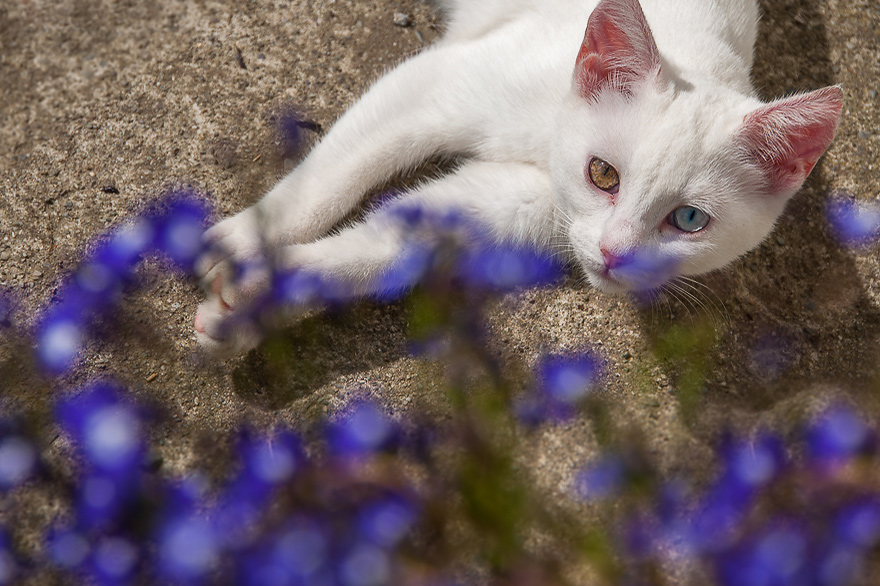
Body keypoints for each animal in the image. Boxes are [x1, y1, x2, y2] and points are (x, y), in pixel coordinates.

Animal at [194, 0, 844, 354]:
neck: (548, 128)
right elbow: (331, 176)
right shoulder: (435, 85)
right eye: (602, 173)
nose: (614, 255)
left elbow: (378, 251)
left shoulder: (511, 205)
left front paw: (249, 303)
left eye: (688, 220)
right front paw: (243, 237)